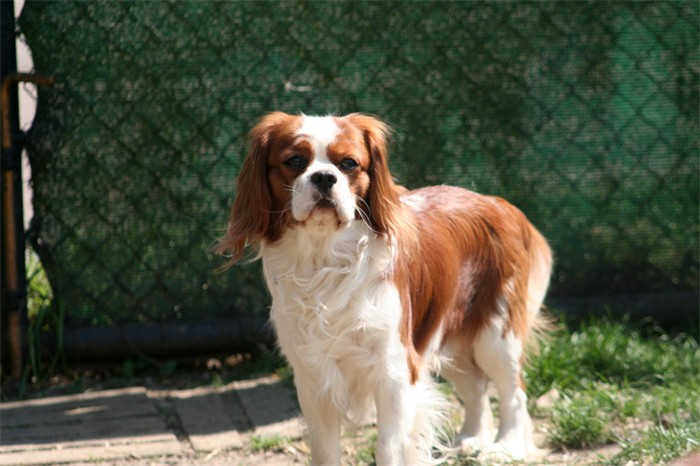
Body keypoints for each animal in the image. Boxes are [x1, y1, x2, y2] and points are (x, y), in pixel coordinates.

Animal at [219, 111, 552, 464]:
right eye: (294, 161)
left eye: (349, 164)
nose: (324, 177)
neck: (326, 259)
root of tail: (501, 205)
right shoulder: (313, 378)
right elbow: (324, 449)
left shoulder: (393, 370)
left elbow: (388, 445)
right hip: (447, 335)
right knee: (475, 385)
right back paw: (472, 439)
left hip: (495, 334)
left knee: (513, 390)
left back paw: (508, 446)